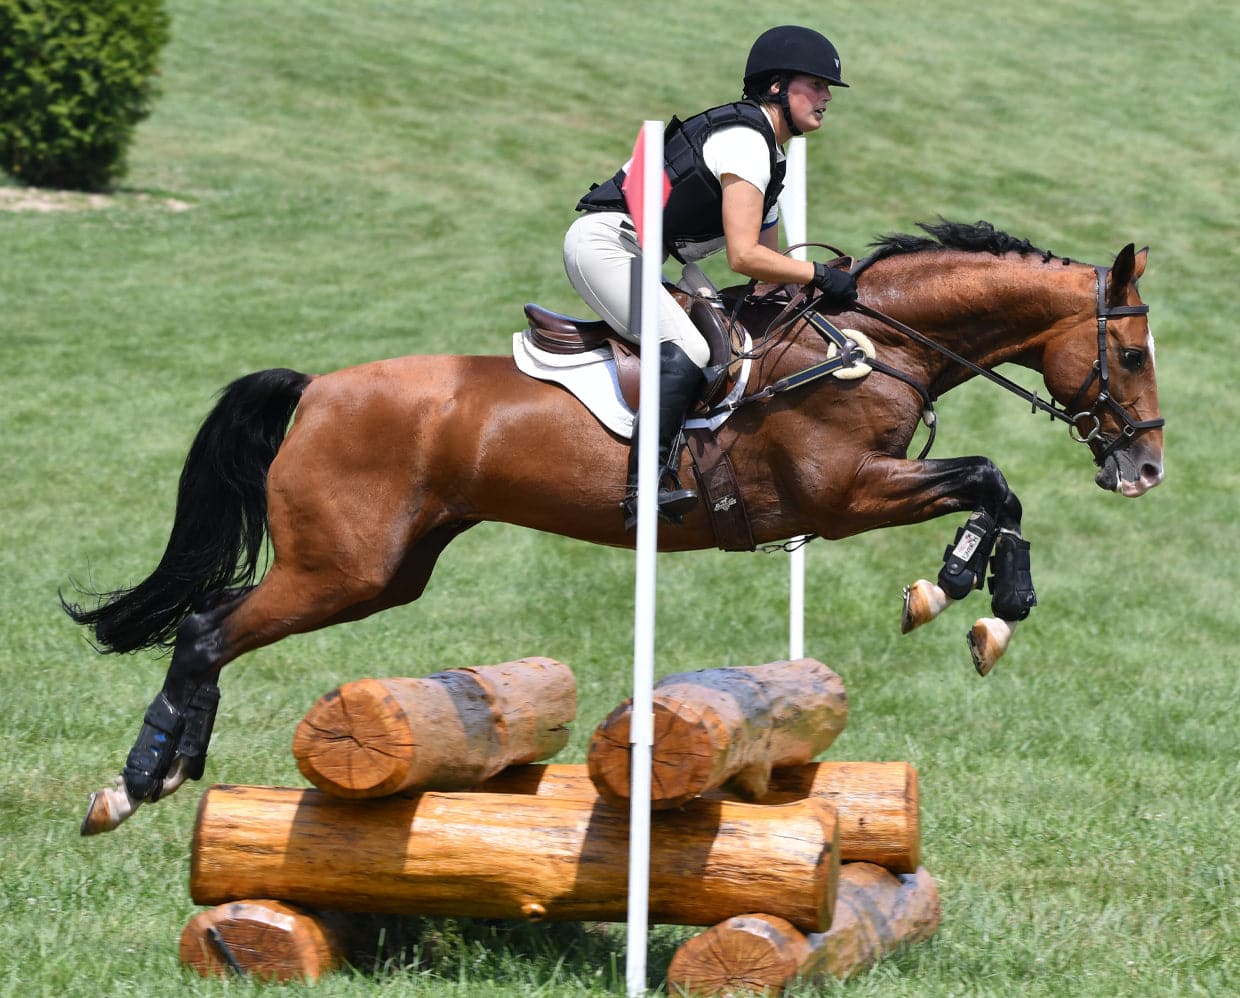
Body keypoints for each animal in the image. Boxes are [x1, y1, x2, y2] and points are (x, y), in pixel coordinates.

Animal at [64, 219, 1164, 835]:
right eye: (1133, 353)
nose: (1144, 469)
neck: (867, 342)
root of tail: (318, 388)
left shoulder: (864, 490)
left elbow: (994, 492)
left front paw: (974, 599)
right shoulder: (841, 493)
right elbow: (991, 479)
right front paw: (972, 595)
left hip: (384, 571)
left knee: (211, 628)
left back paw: (167, 771)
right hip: (342, 567)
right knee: (205, 629)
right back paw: (136, 781)